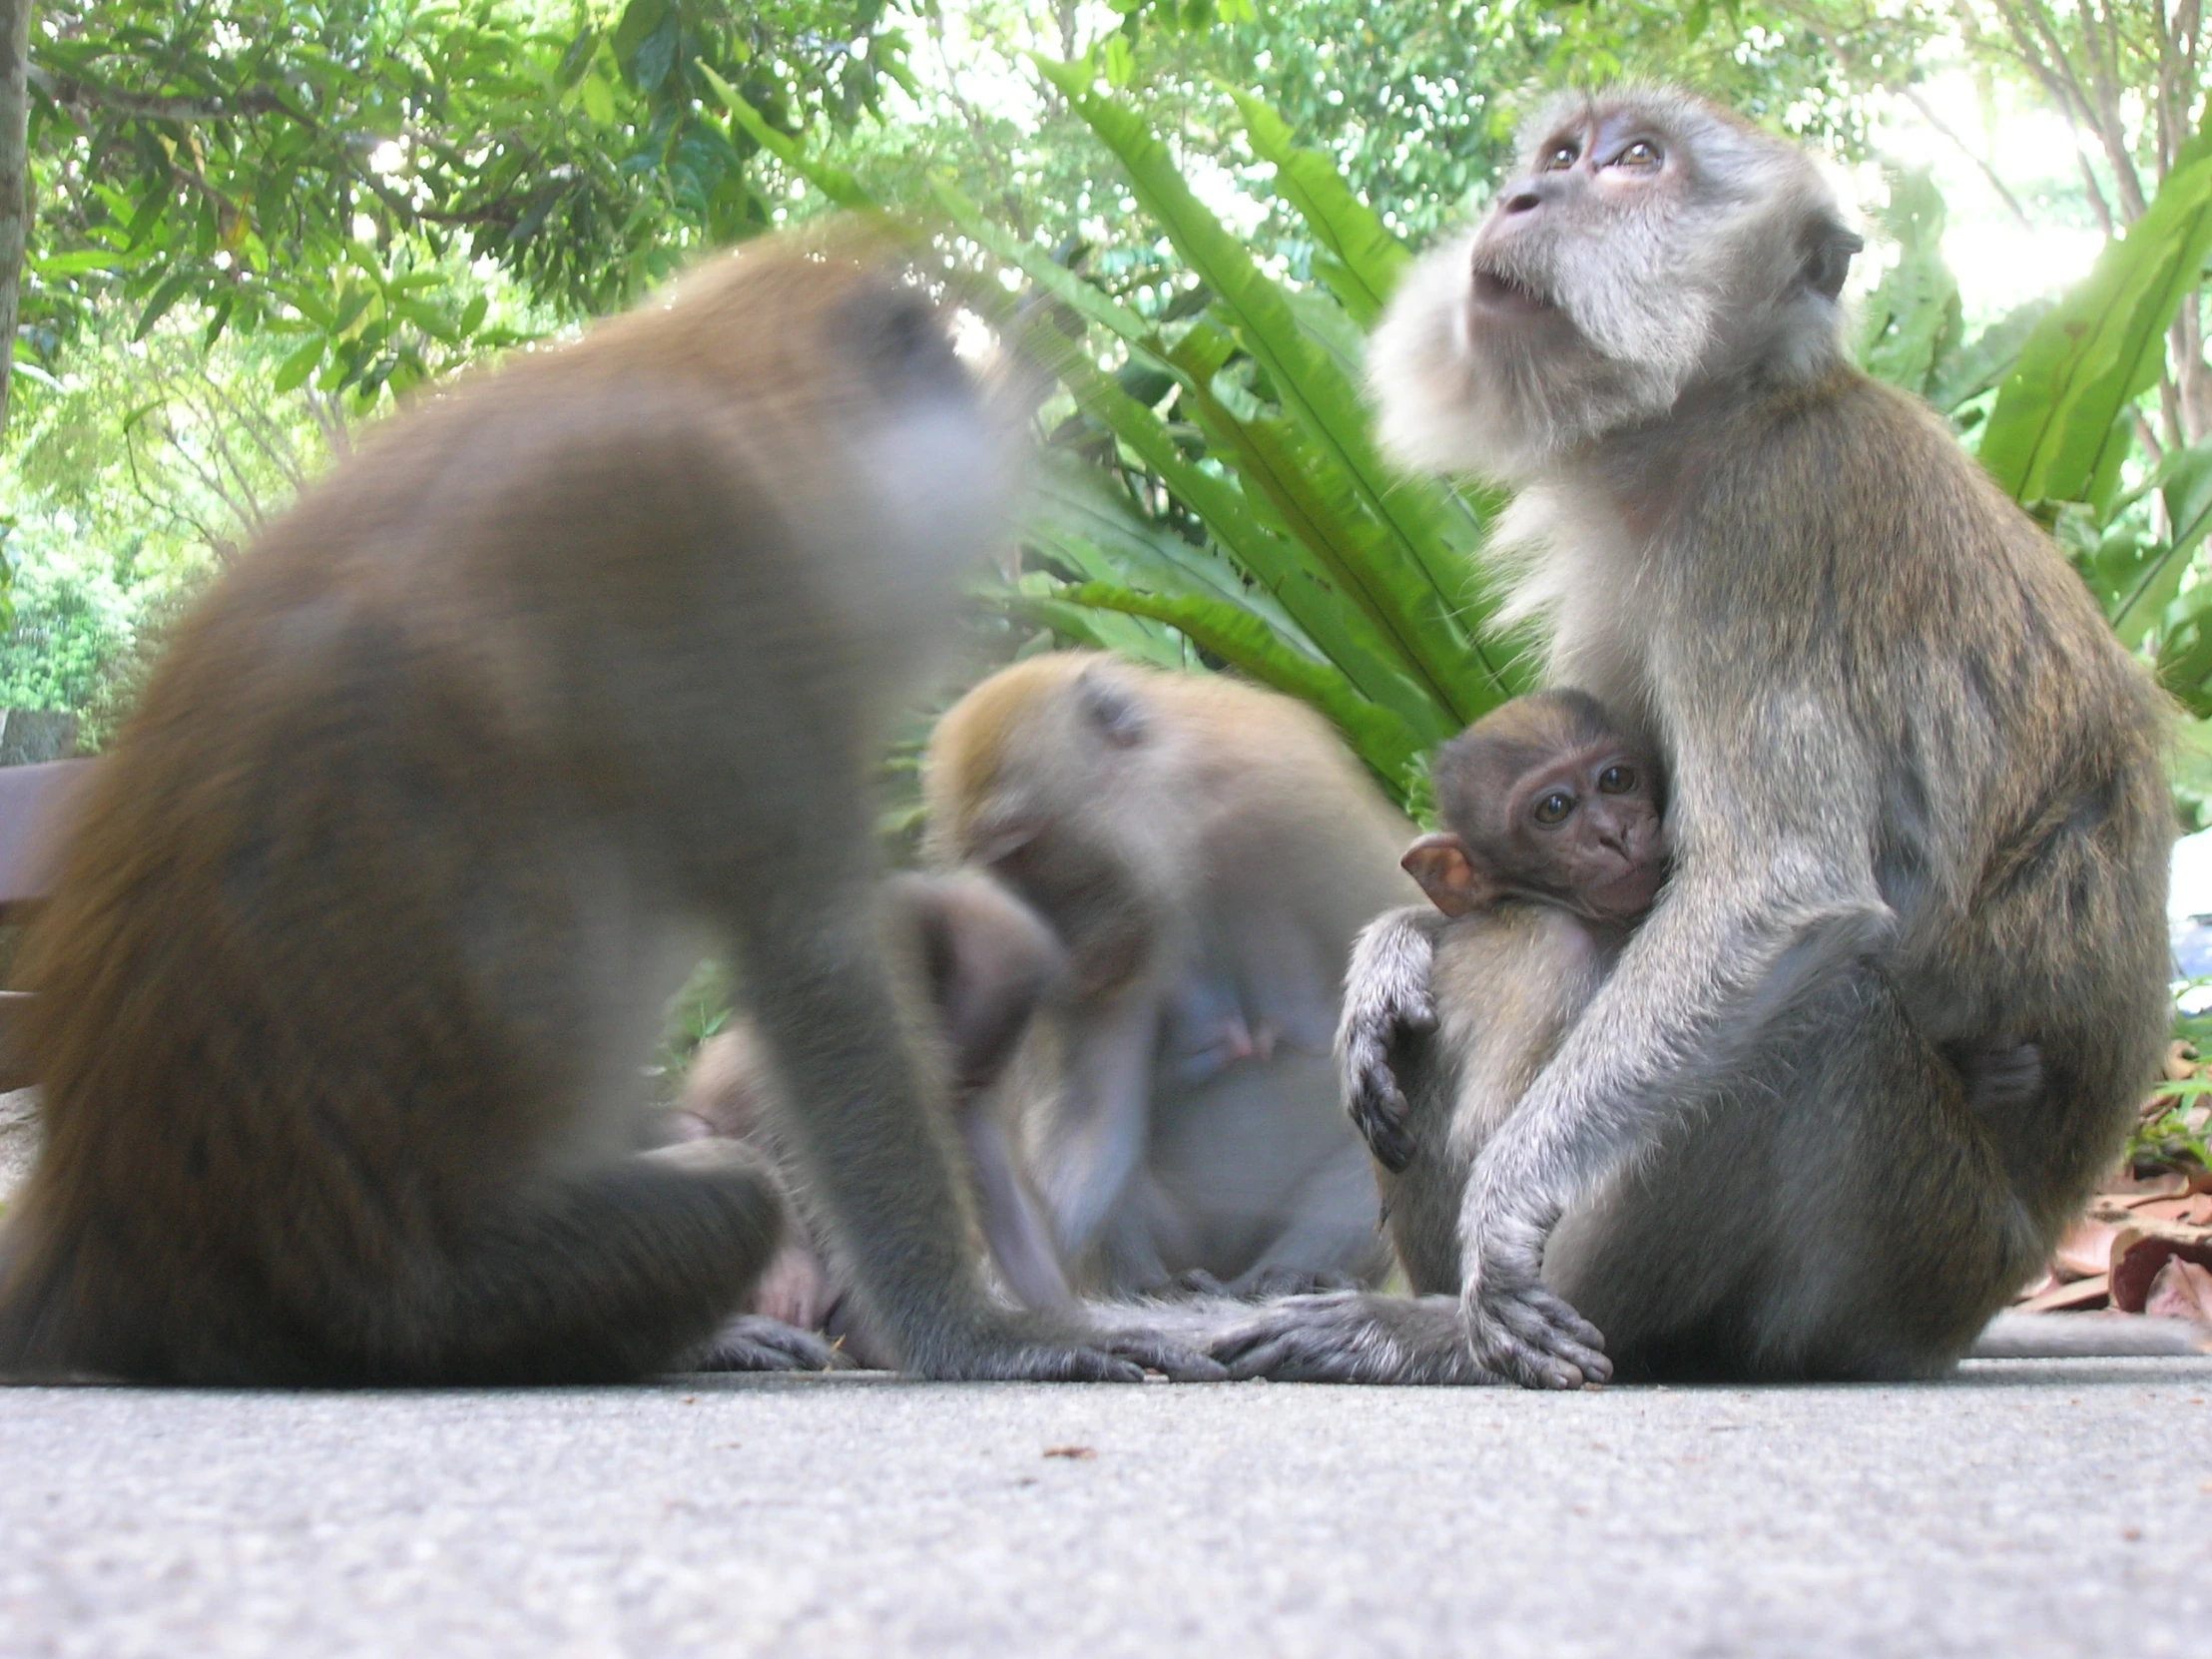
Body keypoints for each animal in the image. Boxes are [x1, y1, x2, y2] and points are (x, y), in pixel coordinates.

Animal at [0, 228, 1221, 1380]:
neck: (709, 373)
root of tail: (91, 1240)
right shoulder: (723, 559)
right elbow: (819, 962)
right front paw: (977, 1333)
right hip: (416, 1309)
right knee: (731, 1185)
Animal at [919, 654, 1415, 1309]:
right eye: (989, 867)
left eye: (1018, 852)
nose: (1024, 924)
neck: (1185, 833)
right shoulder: (1114, 949)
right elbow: (1091, 1120)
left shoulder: (1295, 797)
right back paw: (1157, 1284)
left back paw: (1293, 1275)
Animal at [1203, 88, 2167, 1388]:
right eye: (1560, 155)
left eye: (1634, 162)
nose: (1520, 199)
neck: (1733, 406)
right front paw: (1393, 948)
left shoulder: (1760, 530)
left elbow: (1773, 891)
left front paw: (1505, 1207)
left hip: (1908, 1254)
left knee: (1817, 1011)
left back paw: (1442, 1329)